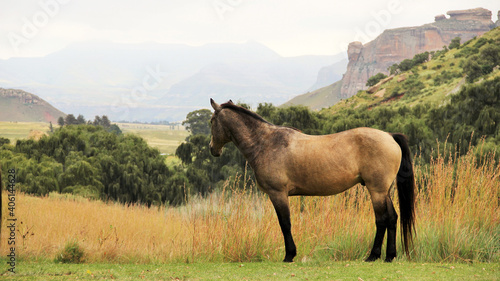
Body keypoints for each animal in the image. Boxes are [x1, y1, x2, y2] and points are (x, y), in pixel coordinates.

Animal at [209, 99, 416, 262]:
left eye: (211, 121)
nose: (212, 149)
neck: (266, 143)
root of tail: (389, 136)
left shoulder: (278, 194)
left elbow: (285, 224)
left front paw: (289, 255)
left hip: (377, 191)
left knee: (382, 220)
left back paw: (373, 256)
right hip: (384, 191)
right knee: (392, 218)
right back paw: (389, 256)